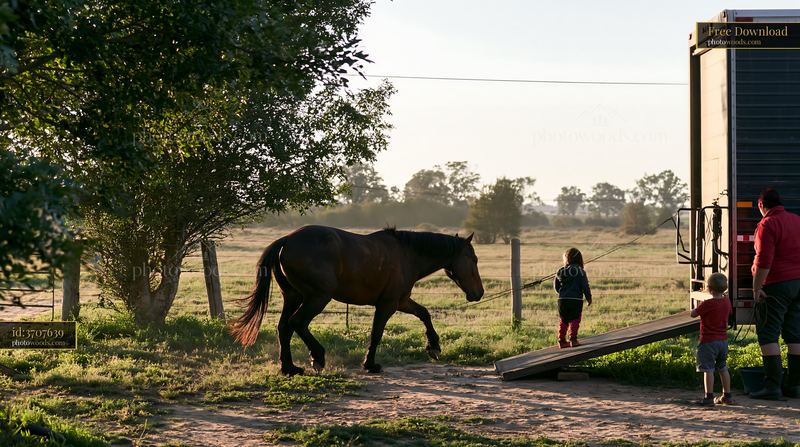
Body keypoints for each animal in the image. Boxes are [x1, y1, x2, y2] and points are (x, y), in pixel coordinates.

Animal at [230, 225, 484, 375]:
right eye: (474, 259)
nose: (479, 293)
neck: (406, 254)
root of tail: (287, 240)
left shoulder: (401, 301)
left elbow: (424, 314)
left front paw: (434, 346)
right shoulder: (388, 304)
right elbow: (376, 333)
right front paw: (370, 364)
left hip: (292, 297)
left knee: (284, 327)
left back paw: (290, 367)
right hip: (317, 298)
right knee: (297, 323)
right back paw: (317, 357)